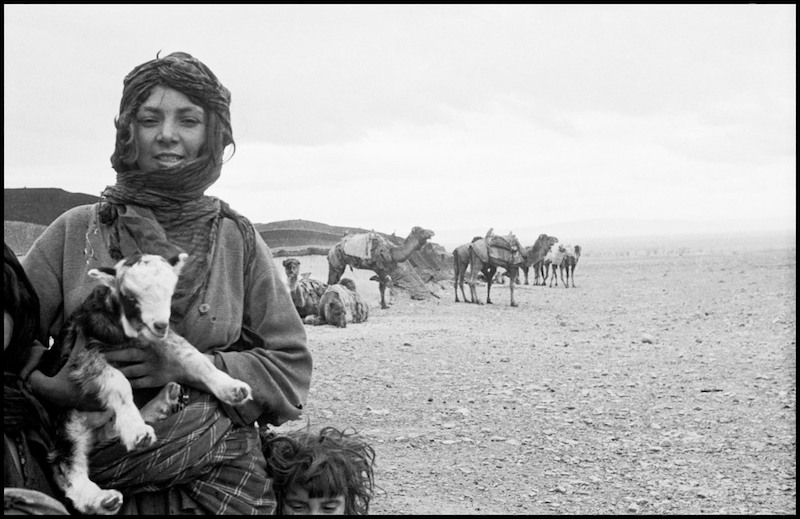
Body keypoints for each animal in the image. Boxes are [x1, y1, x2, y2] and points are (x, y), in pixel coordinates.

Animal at [39, 253, 252, 516]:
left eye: (170, 292)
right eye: (130, 297)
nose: (160, 325)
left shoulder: (163, 339)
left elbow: (194, 357)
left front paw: (232, 389)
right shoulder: (86, 353)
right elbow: (119, 384)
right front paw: (136, 431)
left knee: (109, 431)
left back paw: (163, 403)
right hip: (68, 422)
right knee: (67, 465)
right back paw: (102, 497)